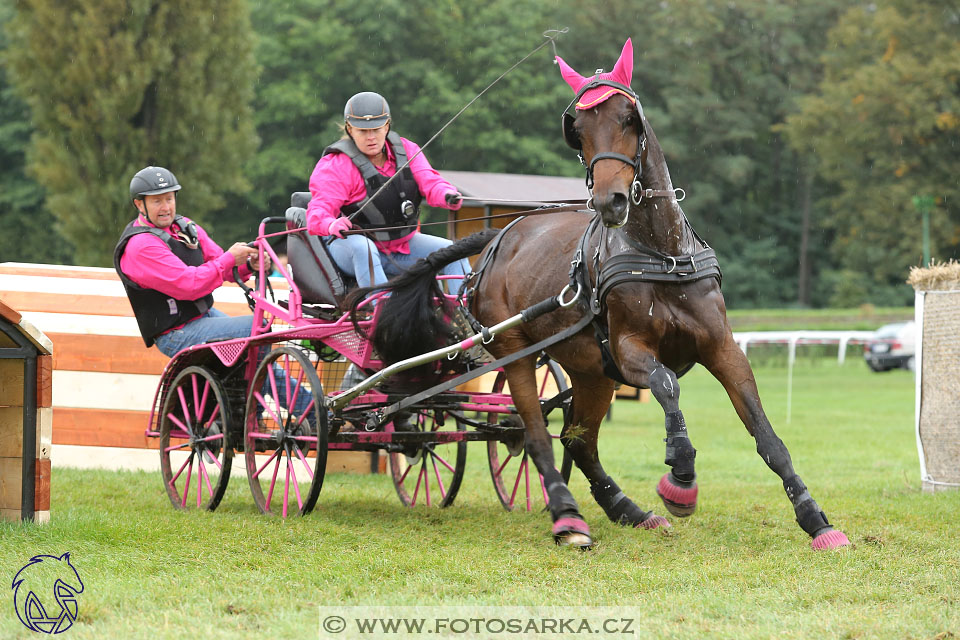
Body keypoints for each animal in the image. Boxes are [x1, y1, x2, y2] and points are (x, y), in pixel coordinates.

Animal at [358, 38, 848, 552]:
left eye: (629, 117)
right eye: (578, 129)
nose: (609, 201)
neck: (661, 254)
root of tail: (499, 236)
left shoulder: (721, 347)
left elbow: (764, 431)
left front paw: (816, 519)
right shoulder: (630, 349)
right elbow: (667, 385)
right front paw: (681, 478)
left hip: (591, 372)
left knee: (577, 440)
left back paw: (628, 510)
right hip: (516, 352)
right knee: (534, 435)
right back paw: (568, 517)